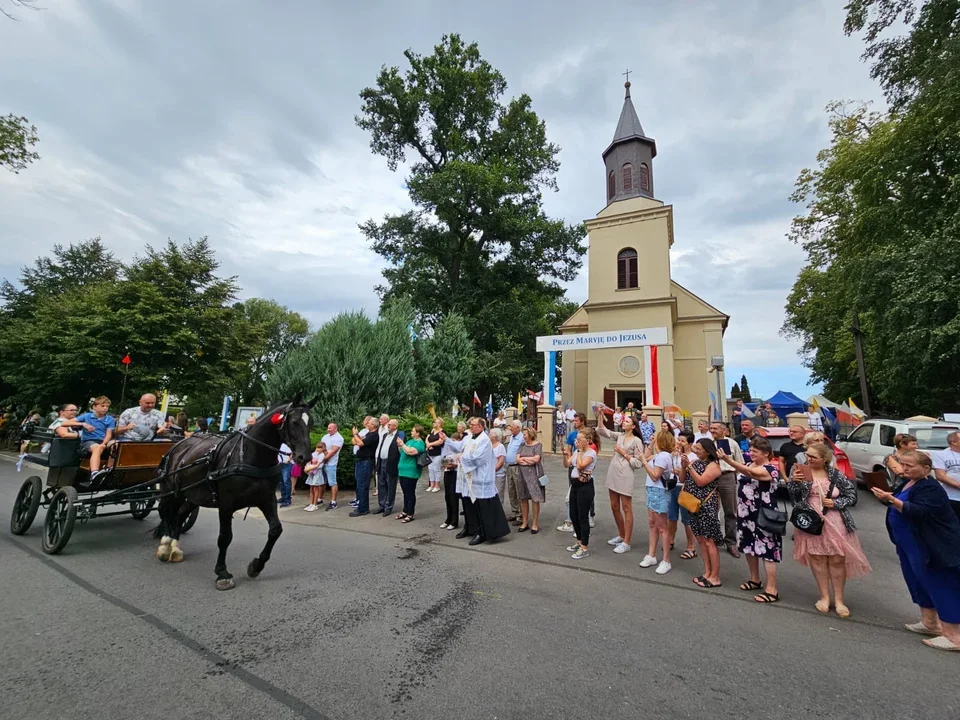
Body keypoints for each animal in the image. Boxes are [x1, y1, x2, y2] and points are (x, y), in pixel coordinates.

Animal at [152, 394, 314, 592]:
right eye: (294, 421)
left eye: (311, 423)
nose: (305, 457)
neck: (250, 455)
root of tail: (179, 444)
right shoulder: (226, 505)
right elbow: (225, 538)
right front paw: (222, 573)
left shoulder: (267, 499)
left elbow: (275, 530)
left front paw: (256, 565)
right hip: (171, 491)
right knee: (167, 512)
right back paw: (165, 545)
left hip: (192, 495)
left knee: (180, 514)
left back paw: (175, 547)